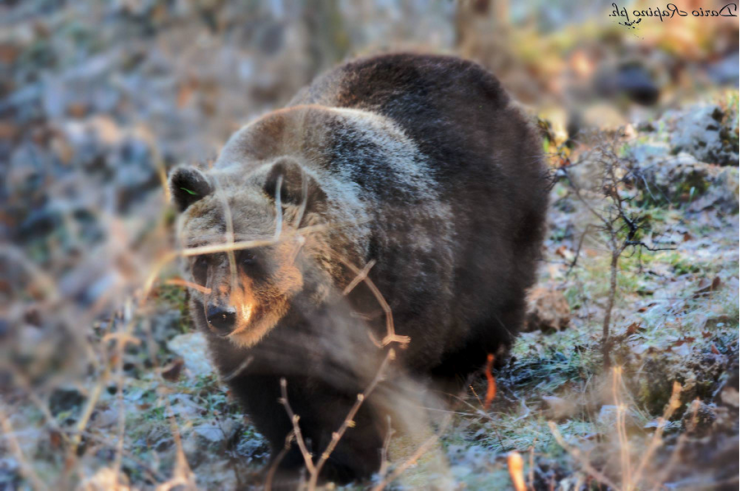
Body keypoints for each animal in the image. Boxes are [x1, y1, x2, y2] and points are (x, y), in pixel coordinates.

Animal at [169, 52, 548, 484]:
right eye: (203, 257)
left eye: (250, 254)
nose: (223, 313)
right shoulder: (254, 348)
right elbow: (268, 396)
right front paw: (295, 458)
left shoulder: (391, 288)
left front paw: (369, 451)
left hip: (501, 211)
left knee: (495, 298)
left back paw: (473, 369)